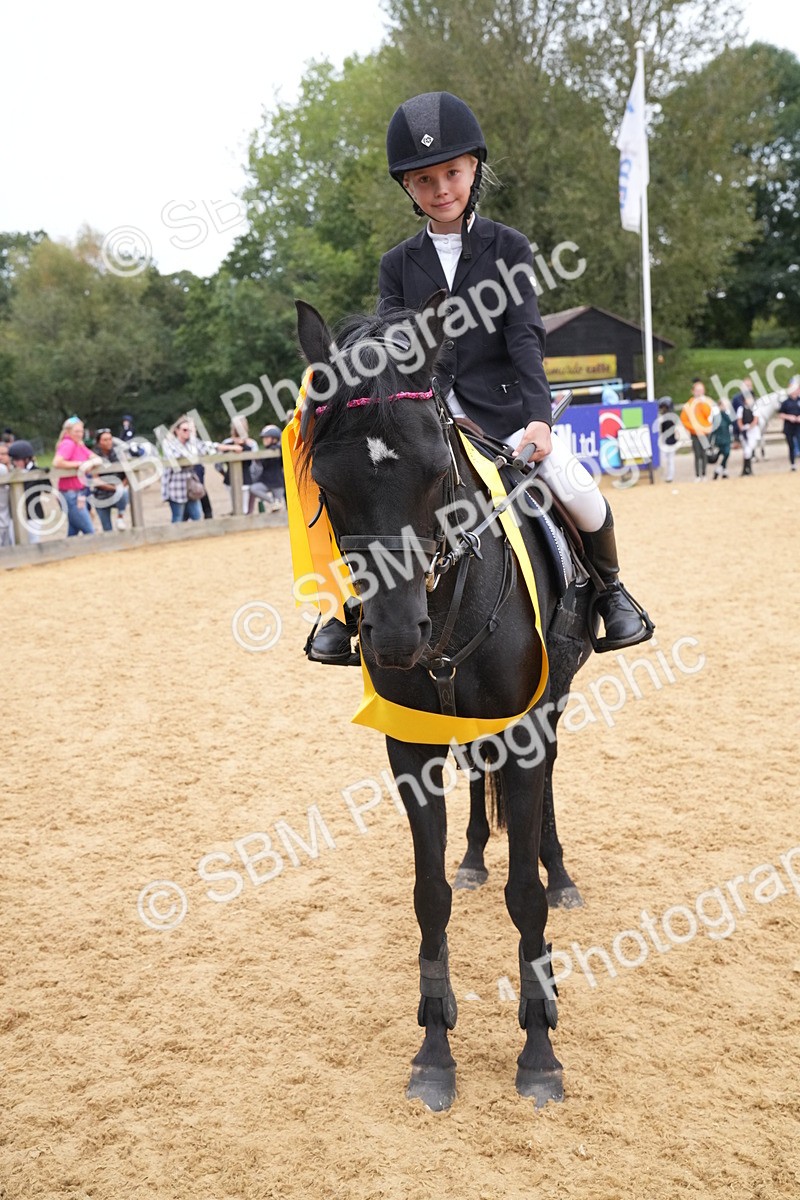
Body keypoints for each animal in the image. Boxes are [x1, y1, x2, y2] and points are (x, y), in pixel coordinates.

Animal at [295, 296, 592, 1111]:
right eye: (327, 483)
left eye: (436, 471)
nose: (396, 636)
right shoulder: (409, 748)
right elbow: (428, 897)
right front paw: (434, 1049)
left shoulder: (525, 730)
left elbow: (525, 897)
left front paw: (539, 1050)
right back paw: (473, 856)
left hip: (552, 705)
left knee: (547, 793)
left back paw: (561, 875)